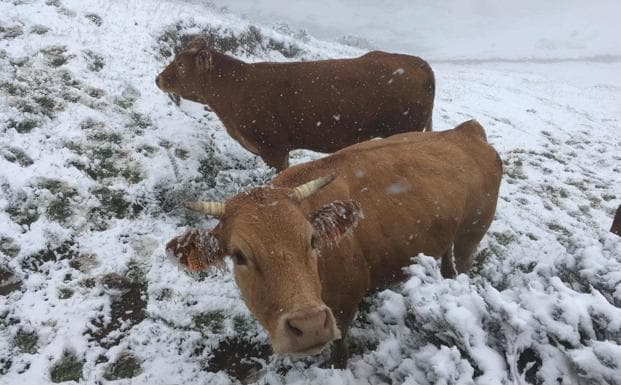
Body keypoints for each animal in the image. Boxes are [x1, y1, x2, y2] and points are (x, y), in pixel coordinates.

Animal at [166, 121, 504, 366]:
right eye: (238, 255)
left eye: (312, 240)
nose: (309, 325)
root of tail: (465, 131)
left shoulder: (346, 302)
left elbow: (340, 341)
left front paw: (336, 365)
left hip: (472, 233)